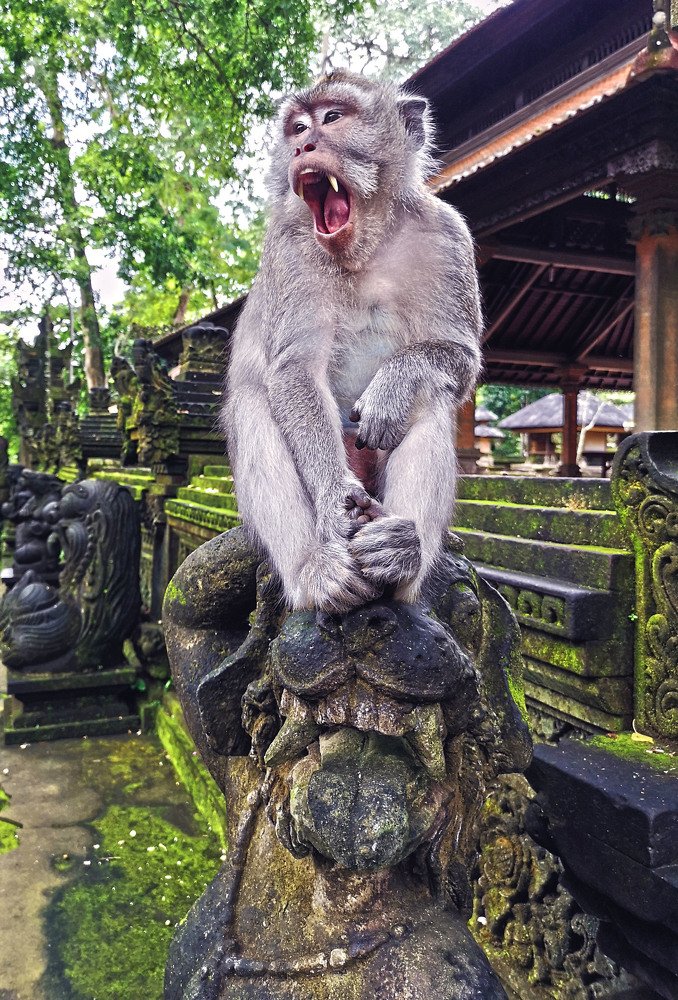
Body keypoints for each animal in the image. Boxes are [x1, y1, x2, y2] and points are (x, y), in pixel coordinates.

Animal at [224, 70, 482, 615]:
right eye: (298, 127)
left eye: (332, 117)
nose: (303, 145)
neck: (366, 243)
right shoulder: (290, 246)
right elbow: (294, 370)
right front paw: (332, 503)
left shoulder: (448, 233)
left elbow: (459, 358)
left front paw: (395, 383)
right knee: (255, 406)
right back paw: (318, 572)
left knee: (430, 397)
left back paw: (402, 556)